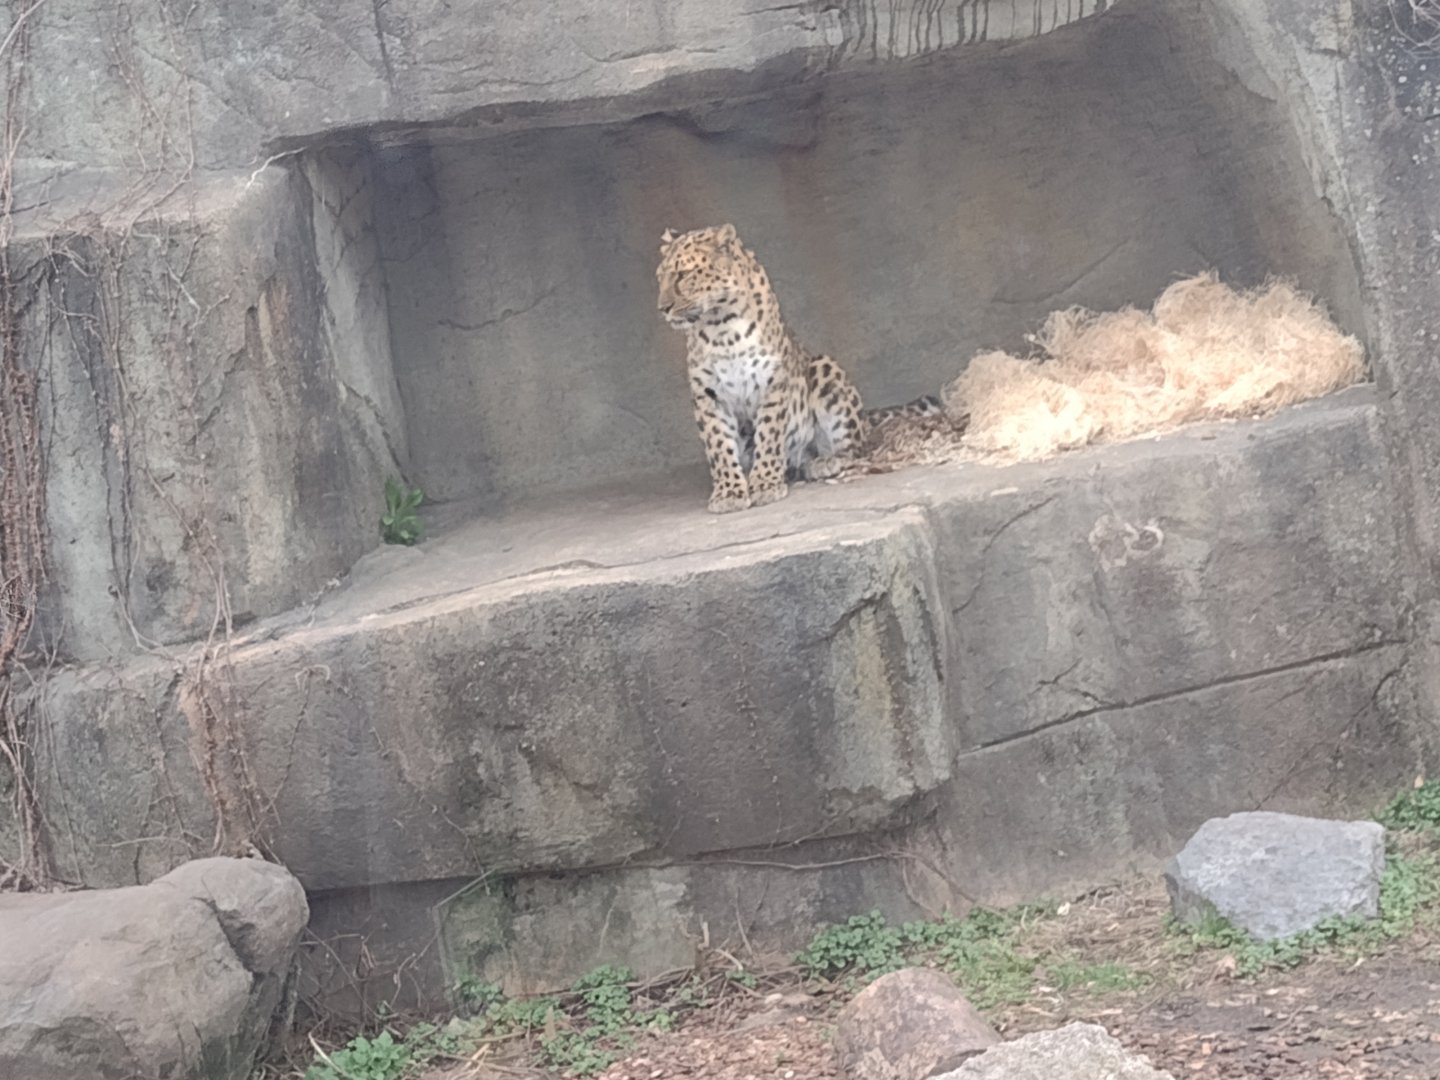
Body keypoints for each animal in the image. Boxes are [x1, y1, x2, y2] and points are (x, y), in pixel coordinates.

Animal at [656, 223, 941, 514]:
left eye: (683, 275)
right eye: (660, 279)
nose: (662, 308)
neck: (720, 327)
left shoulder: (773, 382)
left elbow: (768, 435)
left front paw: (765, 484)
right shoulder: (708, 394)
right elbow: (718, 445)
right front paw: (729, 492)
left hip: (823, 369)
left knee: (857, 449)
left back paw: (824, 462)